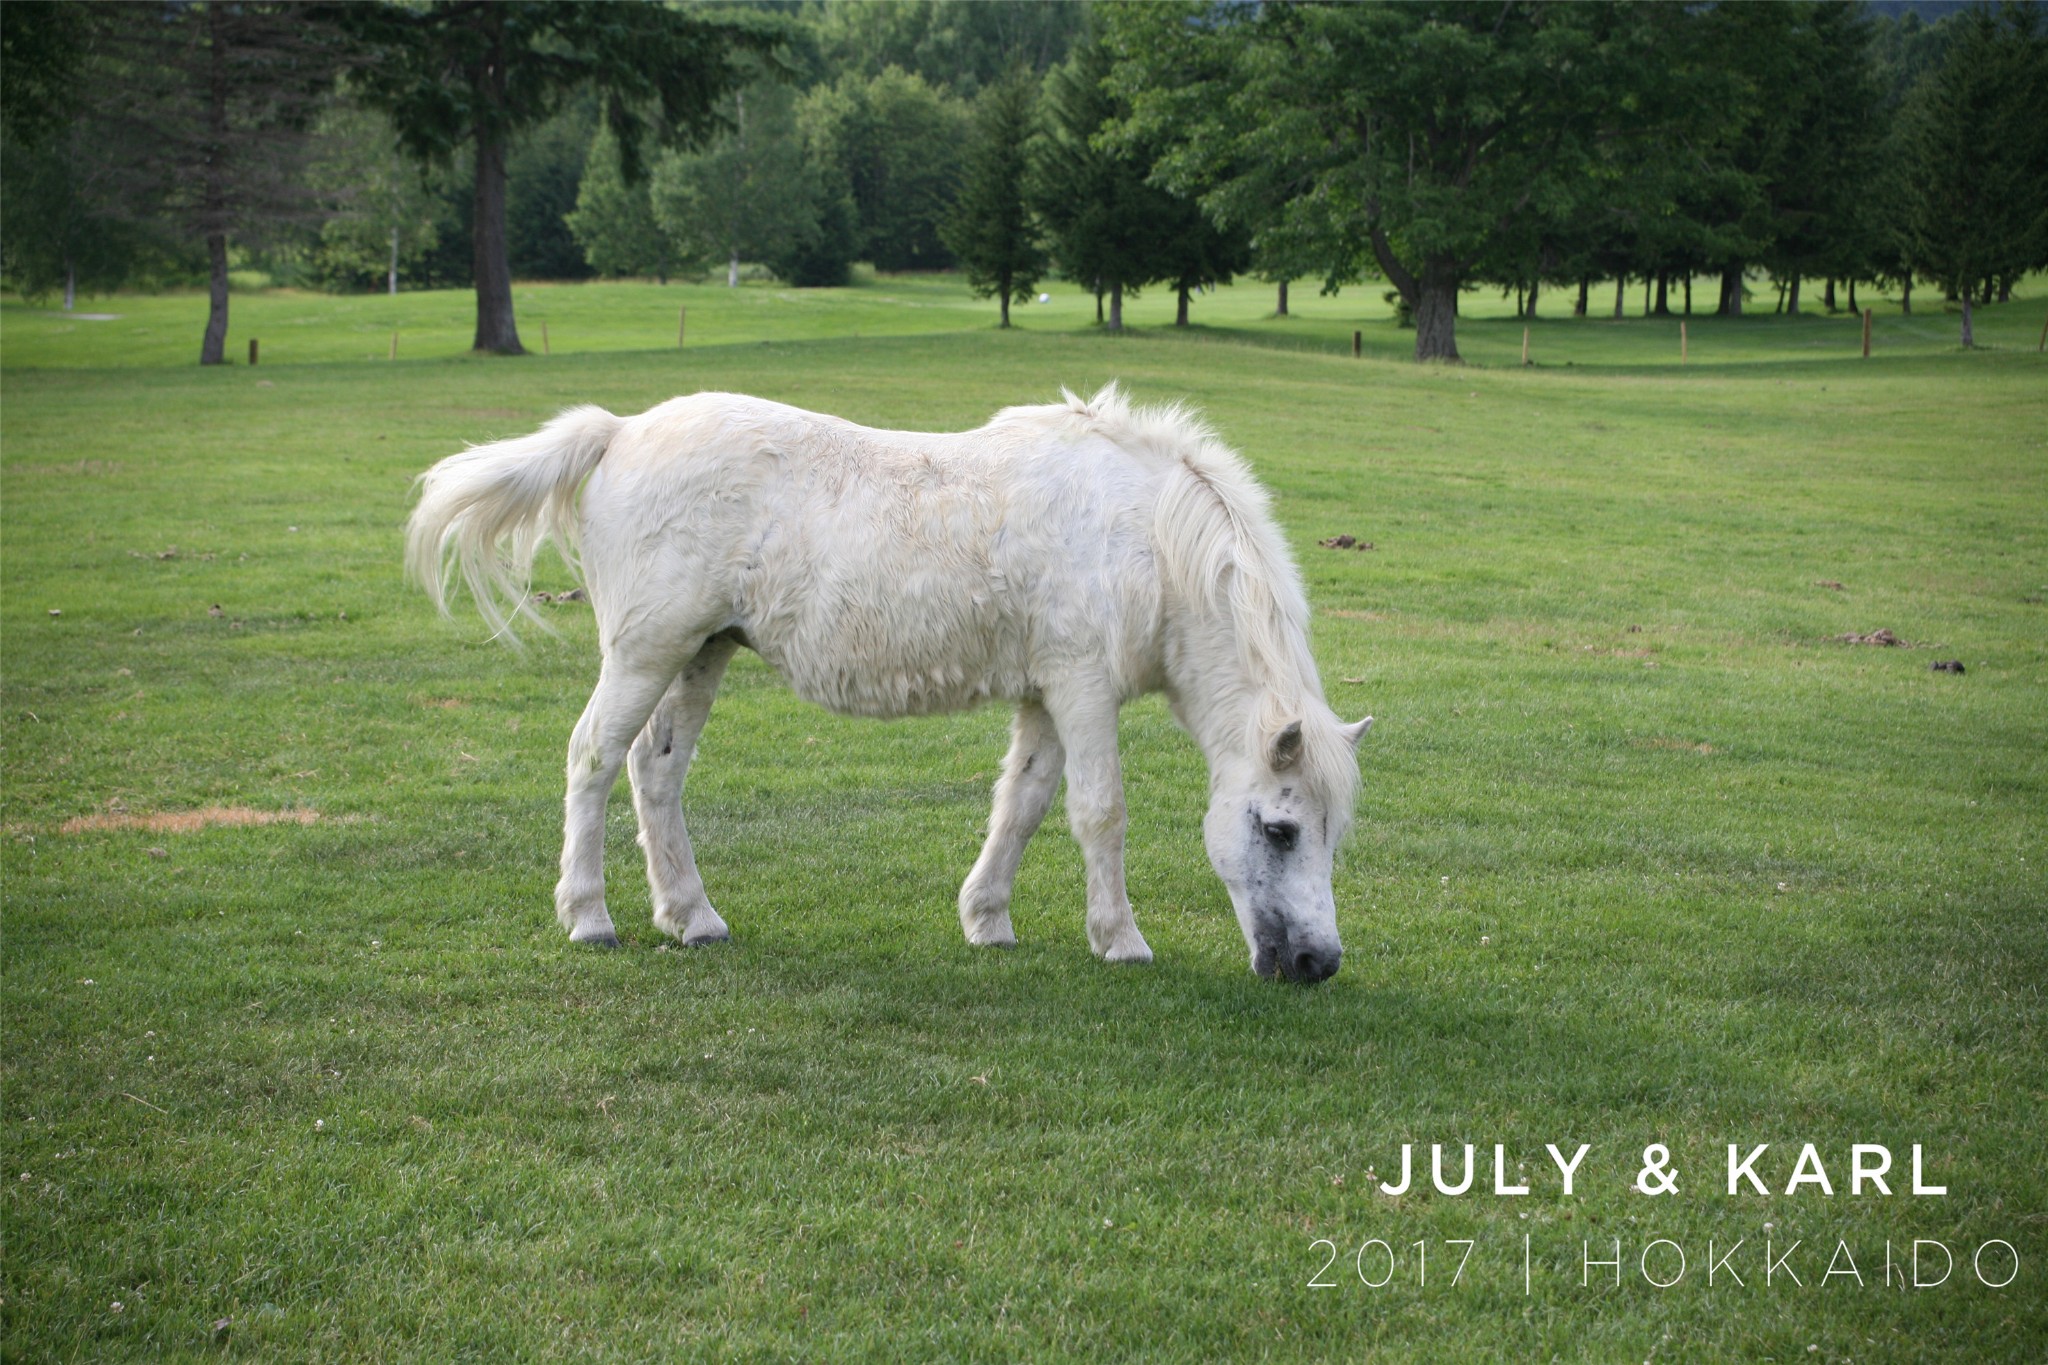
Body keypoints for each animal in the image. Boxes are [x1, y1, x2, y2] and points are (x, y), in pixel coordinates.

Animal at [405, 384, 1368, 982]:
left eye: (1330, 832)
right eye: (1280, 829)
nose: (1318, 963)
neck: (1144, 533)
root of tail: (620, 429)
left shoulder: (1044, 696)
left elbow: (1022, 803)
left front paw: (987, 918)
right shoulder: (1083, 687)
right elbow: (1100, 811)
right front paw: (1119, 939)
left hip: (701, 652)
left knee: (656, 771)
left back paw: (692, 915)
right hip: (646, 651)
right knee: (594, 759)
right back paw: (588, 914)